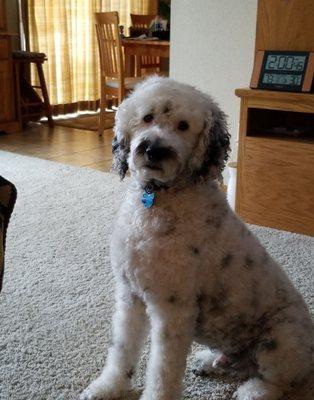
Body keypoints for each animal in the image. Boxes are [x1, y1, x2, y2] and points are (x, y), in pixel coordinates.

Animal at [80, 76, 312, 398]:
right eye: (147, 117)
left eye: (183, 125)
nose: (153, 150)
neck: (158, 200)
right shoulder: (130, 296)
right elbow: (122, 349)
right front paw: (108, 387)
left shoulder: (173, 310)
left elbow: (162, 372)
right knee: (238, 363)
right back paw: (210, 361)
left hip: (281, 338)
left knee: (279, 381)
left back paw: (251, 391)